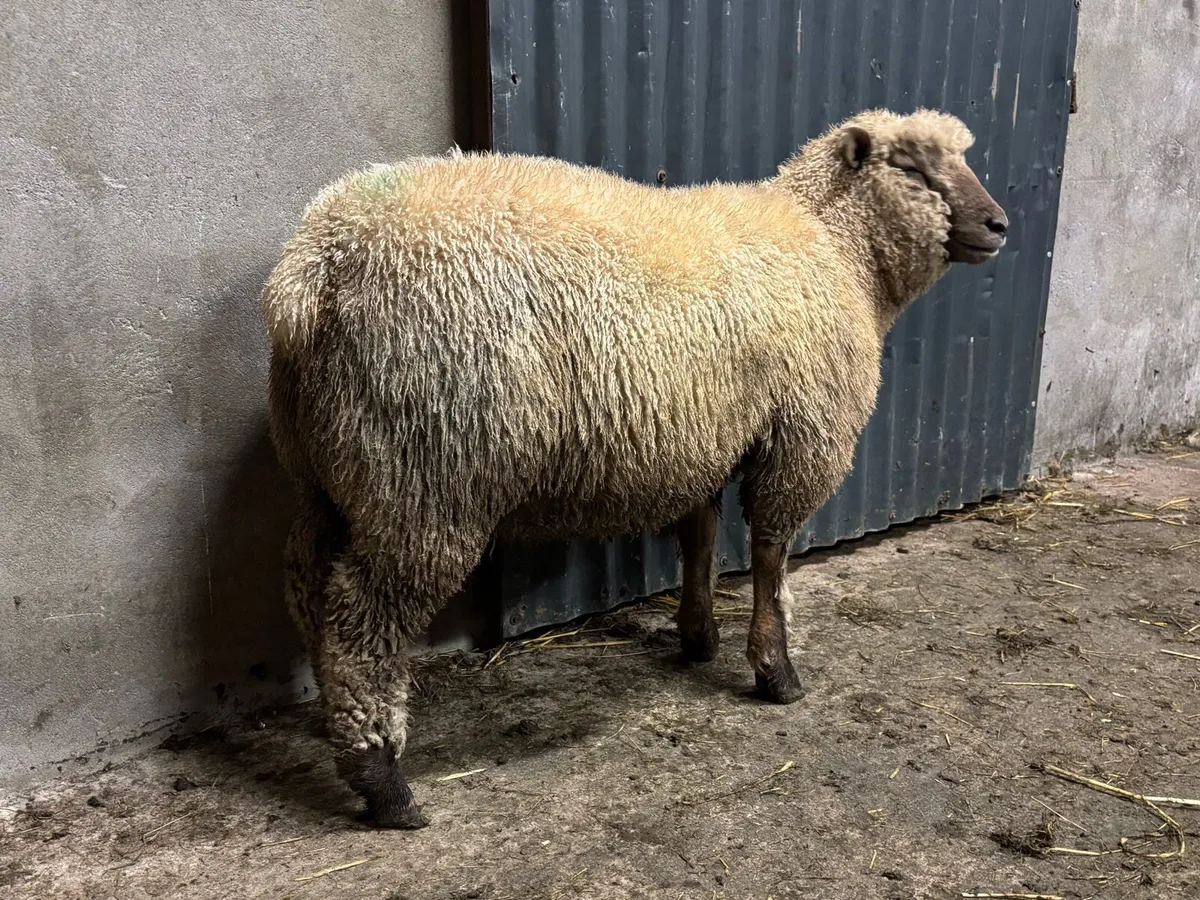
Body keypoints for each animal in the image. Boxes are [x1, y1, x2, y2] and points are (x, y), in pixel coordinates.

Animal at [261, 108, 1007, 828]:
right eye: (910, 167)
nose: (999, 225)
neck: (836, 249)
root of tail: (313, 270)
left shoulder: (706, 437)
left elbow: (699, 537)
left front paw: (699, 637)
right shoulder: (802, 436)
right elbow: (771, 557)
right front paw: (776, 670)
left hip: (327, 470)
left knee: (308, 587)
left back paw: (336, 725)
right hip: (427, 475)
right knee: (363, 620)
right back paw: (383, 782)